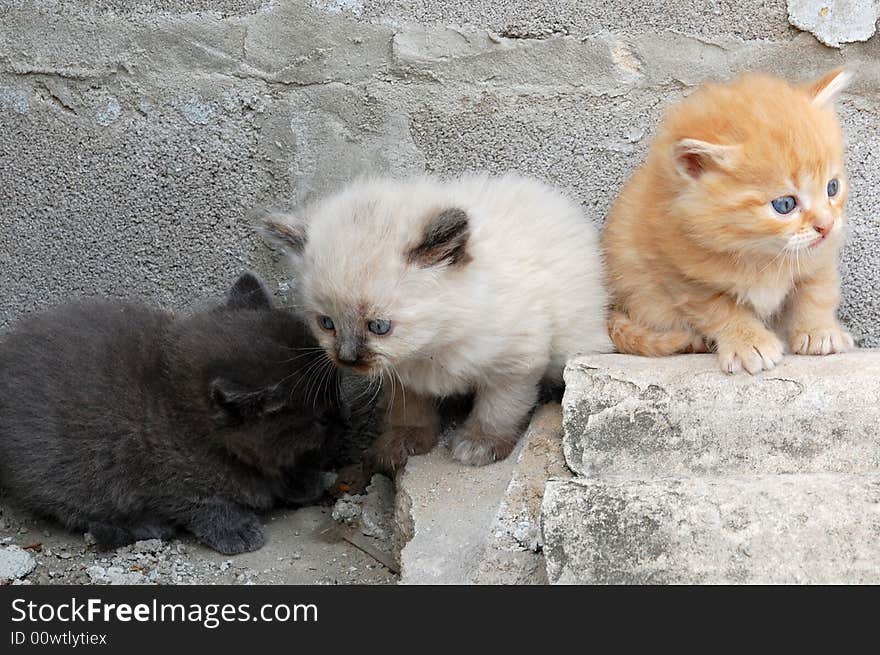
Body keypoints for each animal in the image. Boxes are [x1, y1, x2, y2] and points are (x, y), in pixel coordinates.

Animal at [0, 272, 348, 552]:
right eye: (322, 418)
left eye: (337, 399)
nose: (344, 425)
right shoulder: (170, 482)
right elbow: (204, 505)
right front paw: (236, 529)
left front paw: (305, 482)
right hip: (59, 471)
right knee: (72, 508)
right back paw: (145, 525)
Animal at [262, 174, 612, 468]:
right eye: (327, 323)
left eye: (378, 327)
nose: (347, 359)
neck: (431, 344)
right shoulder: (400, 377)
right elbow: (409, 411)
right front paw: (402, 444)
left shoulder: (515, 365)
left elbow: (498, 410)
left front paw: (479, 445)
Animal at [604, 68, 852, 374]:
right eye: (785, 204)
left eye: (832, 187)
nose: (826, 226)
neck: (761, 254)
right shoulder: (682, 274)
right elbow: (720, 310)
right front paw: (750, 343)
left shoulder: (820, 257)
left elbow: (817, 291)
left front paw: (819, 331)